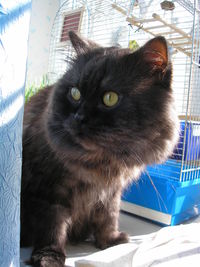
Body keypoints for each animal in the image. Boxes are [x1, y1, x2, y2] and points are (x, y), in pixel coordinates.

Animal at [21, 31, 179, 267]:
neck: (102, 162)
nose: (79, 117)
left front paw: (110, 241)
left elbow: (108, 217)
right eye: (75, 93)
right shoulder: (48, 191)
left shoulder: (112, 192)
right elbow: (52, 228)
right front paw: (49, 258)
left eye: (110, 98)